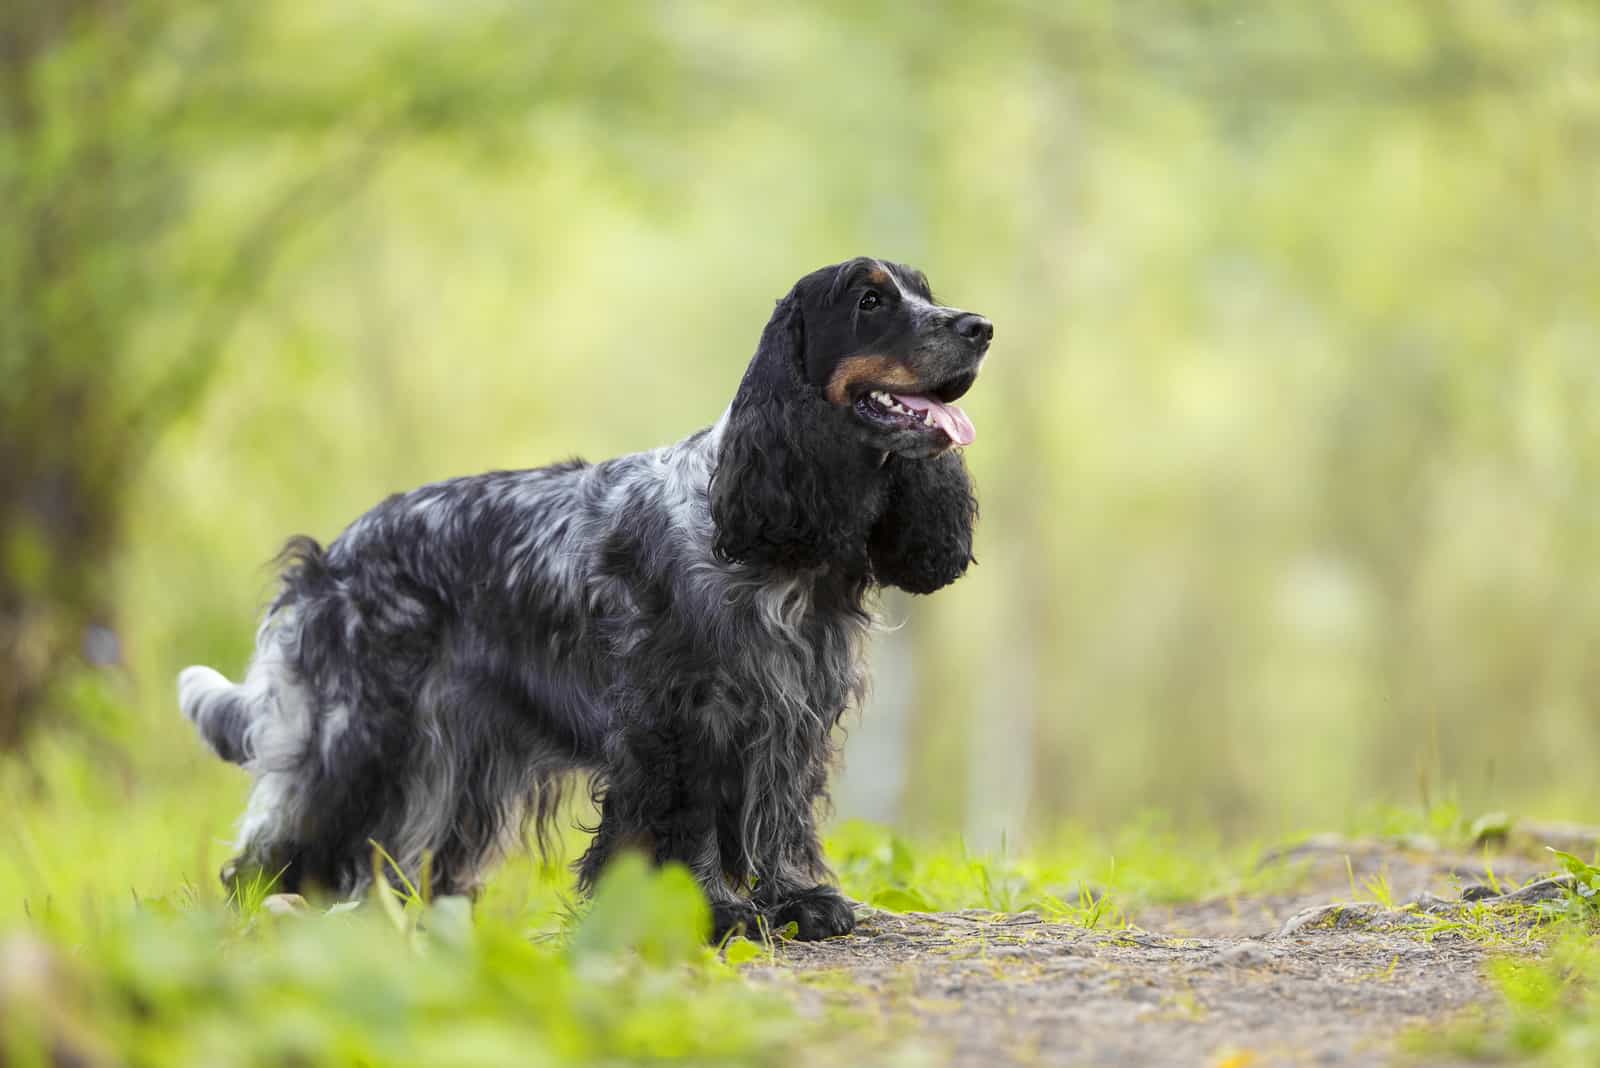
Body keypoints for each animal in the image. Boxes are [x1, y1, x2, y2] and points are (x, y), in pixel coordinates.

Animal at [181, 255, 992, 933]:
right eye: (869, 300)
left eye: (924, 291)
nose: (979, 328)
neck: (768, 545)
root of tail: (332, 556)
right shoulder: (677, 717)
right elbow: (685, 821)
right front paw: (713, 913)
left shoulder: (791, 711)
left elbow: (779, 812)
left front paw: (799, 899)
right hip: (362, 733)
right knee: (279, 845)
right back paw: (272, 913)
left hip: (455, 759)